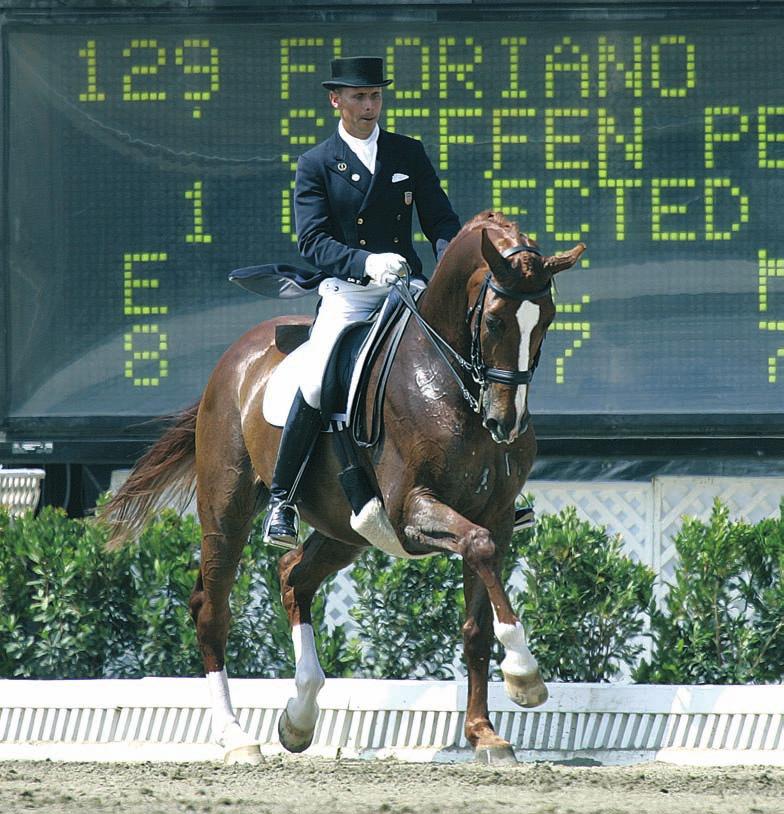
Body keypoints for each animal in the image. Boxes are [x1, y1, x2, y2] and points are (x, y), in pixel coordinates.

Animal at [99, 210, 580, 764]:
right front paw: (525, 676)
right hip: (226, 508)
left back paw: (299, 716)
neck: (447, 381)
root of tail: (237, 355)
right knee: (212, 610)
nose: (505, 423)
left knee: (293, 575)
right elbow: (476, 549)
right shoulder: (412, 512)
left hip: (347, 530)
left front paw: (485, 733)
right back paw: (237, 737)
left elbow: (477, 625)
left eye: (546, 321)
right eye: (497, 320)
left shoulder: (496, 517)